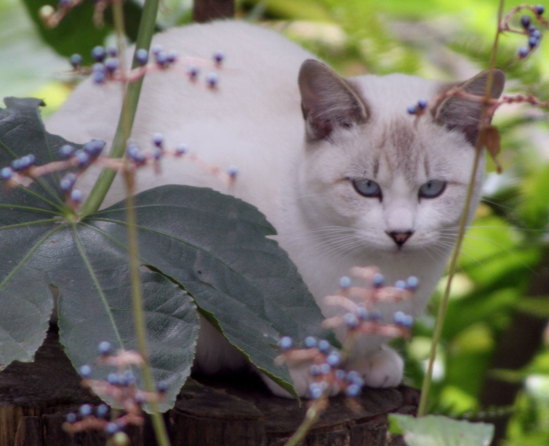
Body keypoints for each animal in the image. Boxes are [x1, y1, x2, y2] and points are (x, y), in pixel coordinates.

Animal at [46, 20, 505, 397]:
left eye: (431, 189)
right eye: (366, 187)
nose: (401, 234)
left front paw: (369, 364)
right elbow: (240, 322)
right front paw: (299, 375)